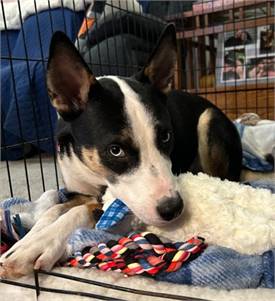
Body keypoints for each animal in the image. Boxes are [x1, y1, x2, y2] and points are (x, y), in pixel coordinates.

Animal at [0, 23, 242, 276]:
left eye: (166, 136)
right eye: (115, 150)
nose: (173, 209)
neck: (94, 172)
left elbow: (79, 212)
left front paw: (39, 244)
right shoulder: (80, 190)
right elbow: (52, 210)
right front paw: (25, 241)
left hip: (208, 119)